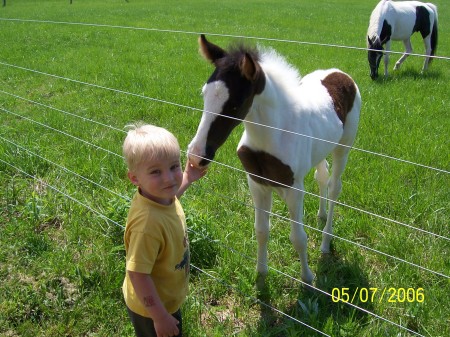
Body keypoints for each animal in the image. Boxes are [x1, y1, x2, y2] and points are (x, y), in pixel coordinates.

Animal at [187, 35, 362, 282]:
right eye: (204, 94)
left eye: (235, 104)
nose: (196, 155)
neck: (271, 136)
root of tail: (341, 73)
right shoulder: (257, 184)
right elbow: (261, 230)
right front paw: (261, 274)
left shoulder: (294, 189)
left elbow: (298, 238)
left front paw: (307, 278)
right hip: (321, 147)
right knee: (322, 175)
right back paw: (320, 215)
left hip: (343, 148)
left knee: (334, 186)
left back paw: (326, 242)